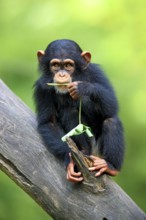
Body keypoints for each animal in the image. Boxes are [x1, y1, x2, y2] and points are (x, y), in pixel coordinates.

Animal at [34, 39, 124, 182]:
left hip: (98, 151)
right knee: (69, 111)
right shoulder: (41, 88)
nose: (61, 74)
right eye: (55, 65)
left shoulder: (97, 72)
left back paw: (111, 166)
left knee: (111, 121)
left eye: (68, 65)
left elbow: (112, 106)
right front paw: (69, 159)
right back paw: (83, 151)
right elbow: (49, 122)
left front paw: (83, 87)